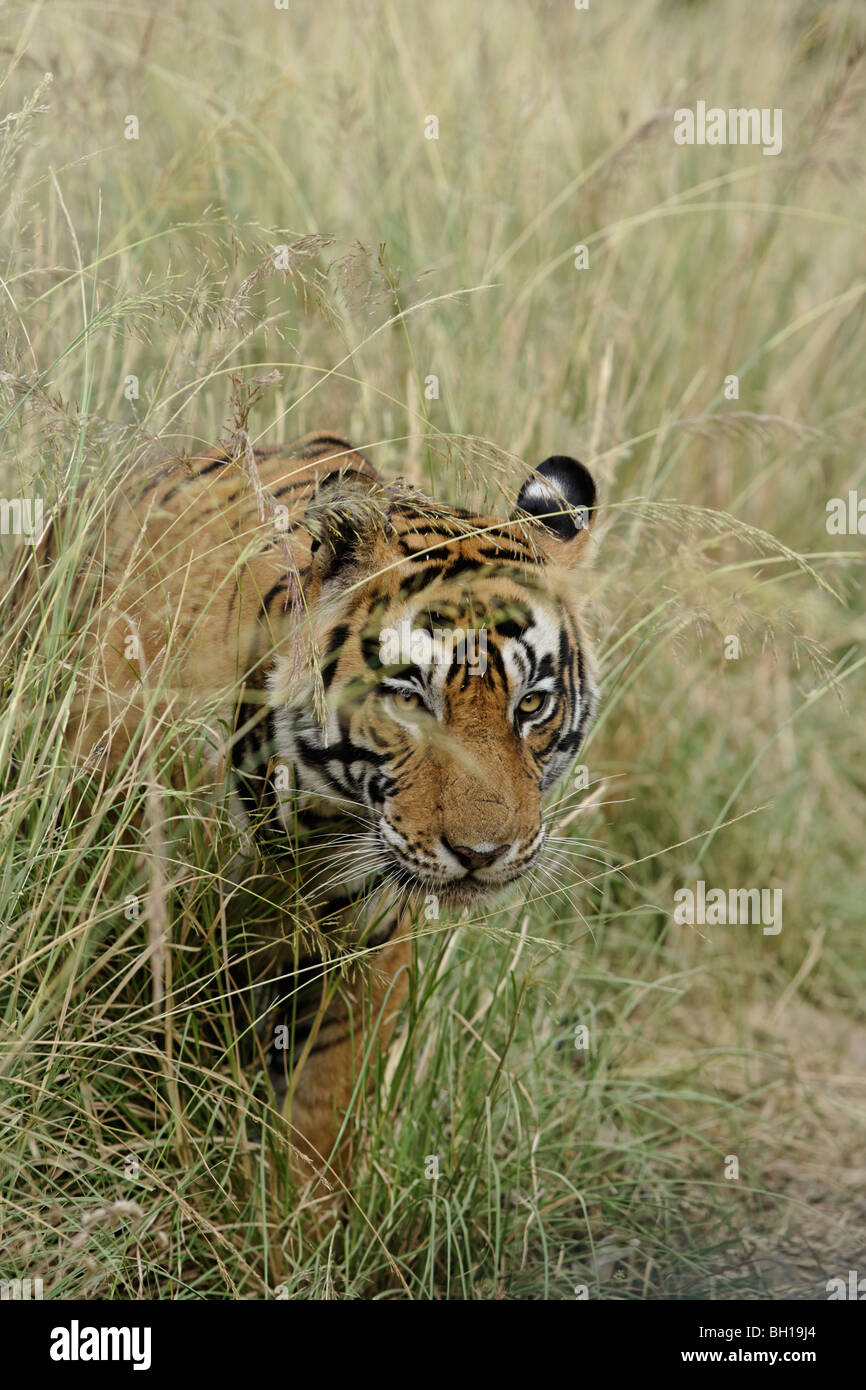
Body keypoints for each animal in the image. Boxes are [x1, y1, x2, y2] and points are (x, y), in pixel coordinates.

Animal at [22, 430, 603, 1195]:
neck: (311, 822)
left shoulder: (366, 956)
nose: (483, 855)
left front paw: (299, 1222)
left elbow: (320, 1130)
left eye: (531, 705)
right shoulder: (141, 937)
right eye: (410, 697)